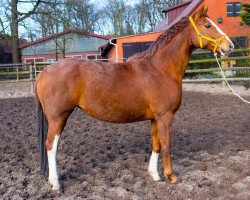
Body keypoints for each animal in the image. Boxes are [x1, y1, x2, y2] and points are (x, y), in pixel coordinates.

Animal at [35, 7, 234, 190]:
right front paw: (171, 176)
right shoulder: (165, 116)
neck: (160, 68)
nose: (230, 46)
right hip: (58, 117)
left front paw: (154, 175)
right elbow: (166, 144)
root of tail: (44, 71)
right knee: (51, 145)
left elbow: (156, 145)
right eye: (208, 25)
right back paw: (55, 183)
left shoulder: (155, 118)